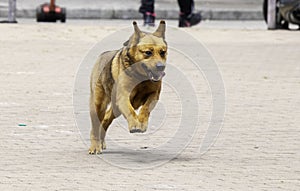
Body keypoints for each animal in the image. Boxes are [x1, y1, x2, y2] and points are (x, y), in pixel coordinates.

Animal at [89, 20, 168, 154]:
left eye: (162, 52)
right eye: (148, 52)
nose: (160, 67)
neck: (141, 77)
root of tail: (101, 56)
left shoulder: (154, 95)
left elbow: (145, 109)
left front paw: (142, 123)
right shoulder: (123, 97)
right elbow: (130, 111)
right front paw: (135, 124)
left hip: (115, 109)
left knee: (105, 120)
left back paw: (101, 142)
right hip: (98, 105)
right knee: (95, 126)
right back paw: (95, 146)